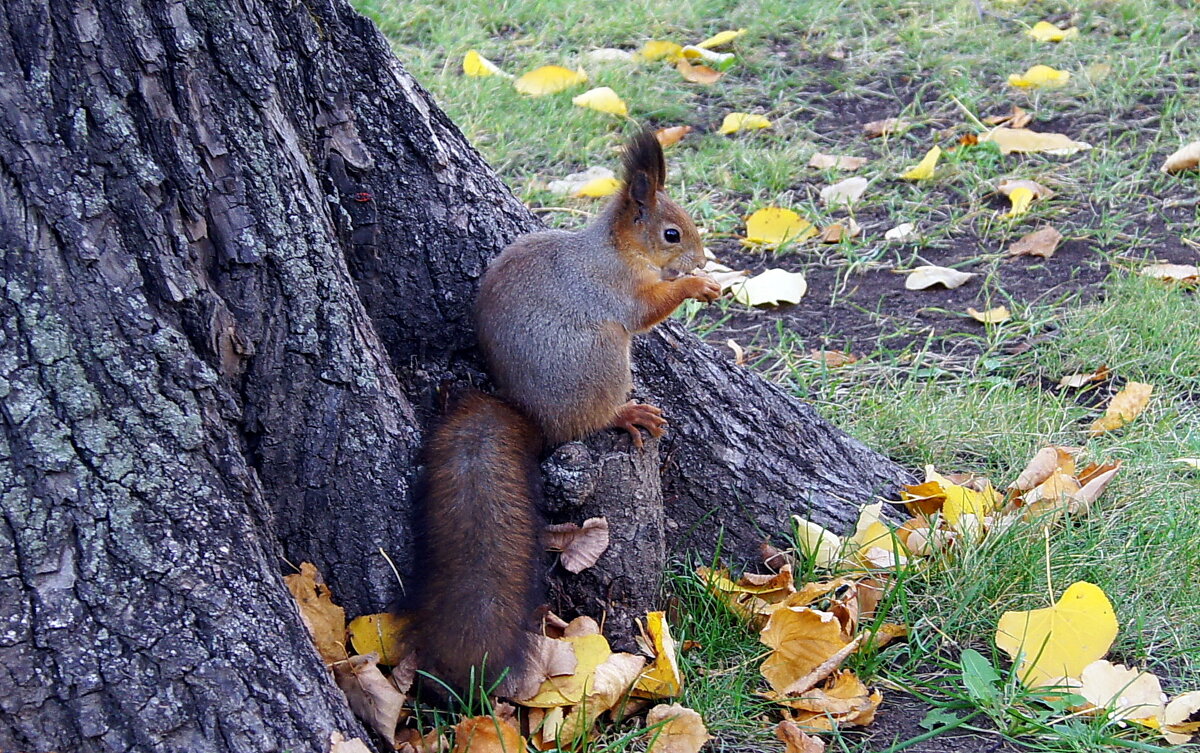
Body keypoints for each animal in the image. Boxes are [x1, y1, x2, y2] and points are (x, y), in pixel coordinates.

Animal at [403, 129, 720, 695]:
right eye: (671, 234)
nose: (702, 259)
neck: (616, 249)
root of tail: (533, 416)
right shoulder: (615, 289)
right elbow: (647, 311)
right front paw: (693, 287)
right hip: (602, 358)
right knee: (592, 418)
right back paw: (627, 415)